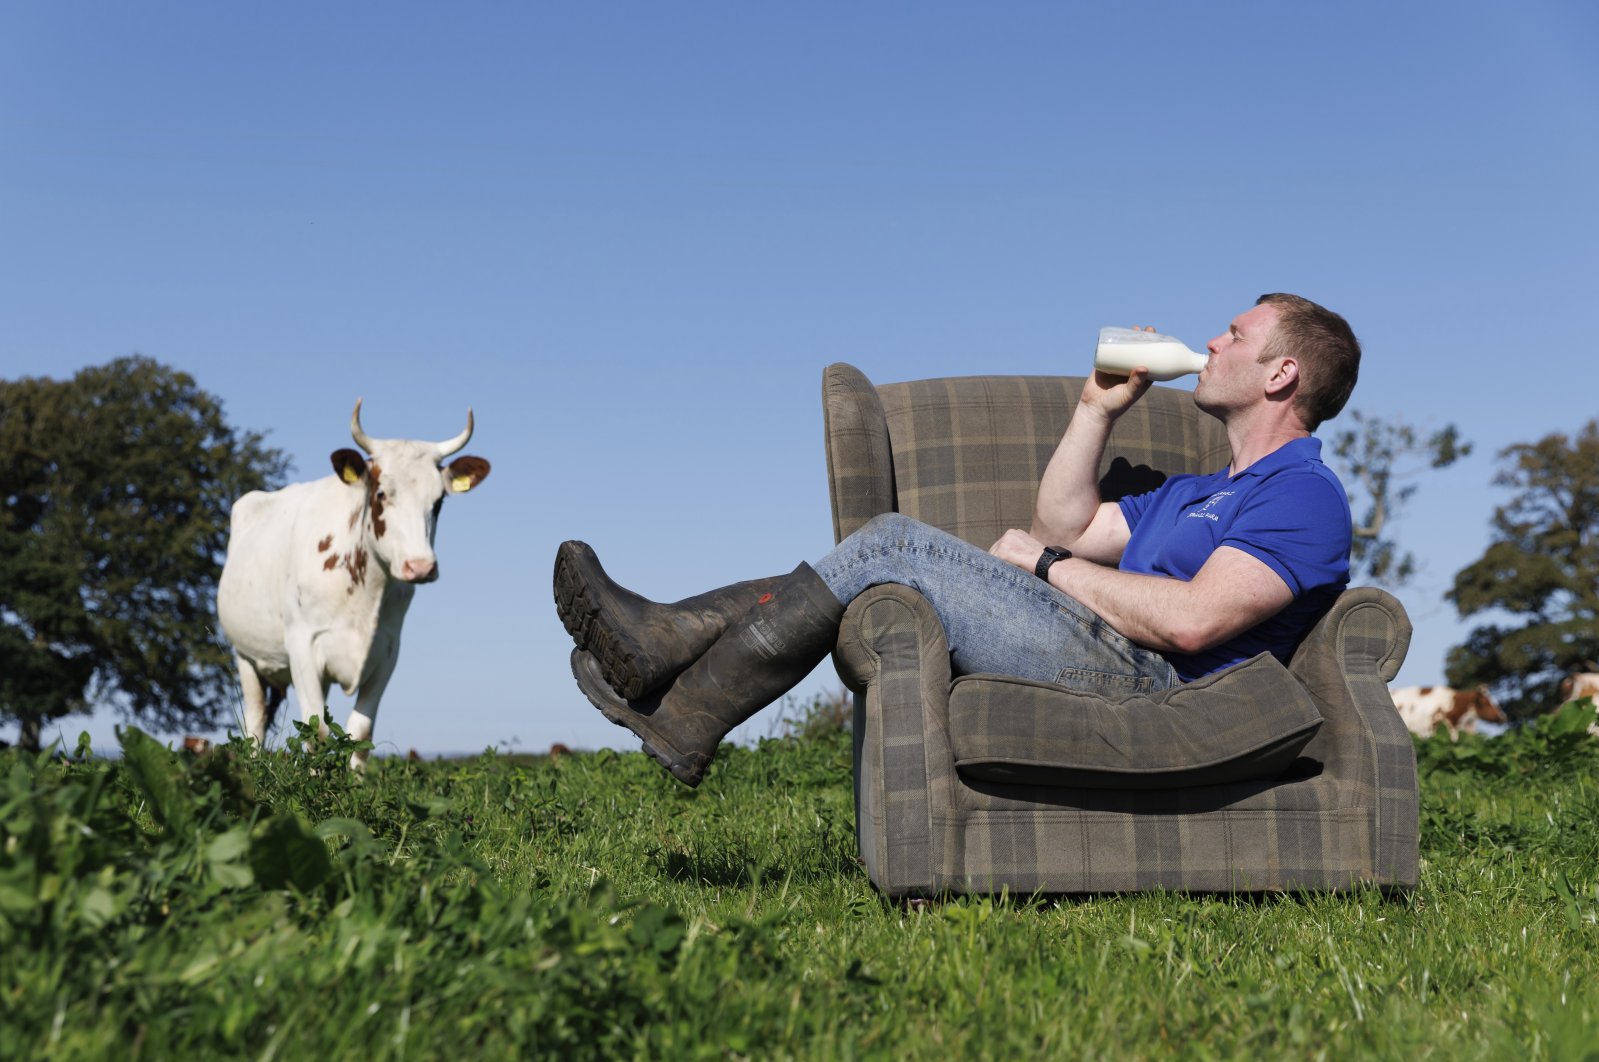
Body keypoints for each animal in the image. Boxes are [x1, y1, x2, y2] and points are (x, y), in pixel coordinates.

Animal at [215, 403, 486, 767]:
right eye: (381, 493)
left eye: (439, 501)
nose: (420, 566)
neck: (365, 595)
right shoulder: (302, 644)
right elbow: (316, 731)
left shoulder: (387, 653)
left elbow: (360, 732)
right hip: (245, 655)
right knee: (255, 720)